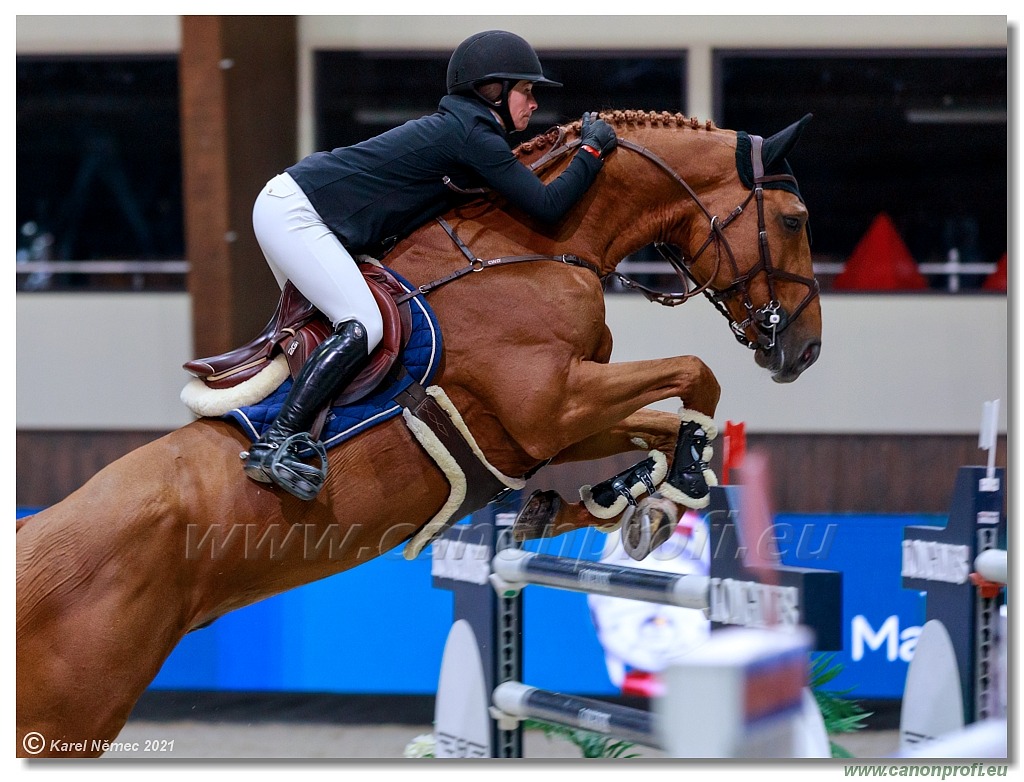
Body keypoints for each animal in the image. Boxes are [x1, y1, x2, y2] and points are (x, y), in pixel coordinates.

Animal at [16, 111, 819, 757]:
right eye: (793, 219)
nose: (803, 352)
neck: (535, 246)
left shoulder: (545, 427)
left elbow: (652, 422)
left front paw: (627, 496)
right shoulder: (551, 403)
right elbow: (697, 375)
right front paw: (672, 480)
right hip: (68, 716)